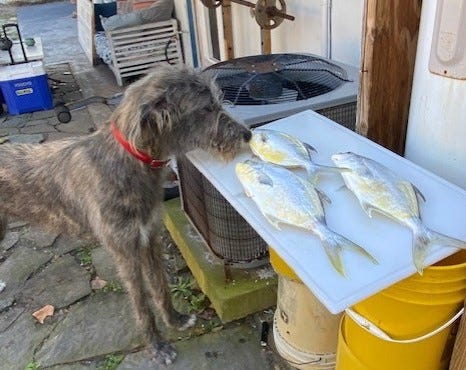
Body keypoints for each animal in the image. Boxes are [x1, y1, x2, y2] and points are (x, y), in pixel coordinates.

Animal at [0, 66, 251, 364]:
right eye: (206, 108)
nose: (248, 135)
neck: (127, 160)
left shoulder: (149, 239)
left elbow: (160, 286)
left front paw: (175, 321)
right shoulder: (125, 252)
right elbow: (141, 303)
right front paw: (157, 346)